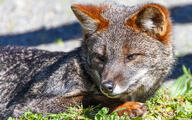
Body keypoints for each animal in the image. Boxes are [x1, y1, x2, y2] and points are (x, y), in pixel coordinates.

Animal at [0, 0, 174, 119]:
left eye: (131, 57)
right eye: (100, 57)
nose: (107, 86)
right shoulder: (26, 106)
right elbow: (90, 97)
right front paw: (125, 107)